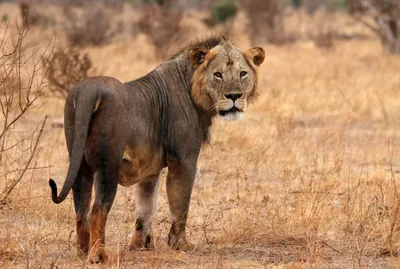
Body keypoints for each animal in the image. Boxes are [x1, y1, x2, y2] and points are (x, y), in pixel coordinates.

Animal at [48, 35, 264, 262]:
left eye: (242, 73)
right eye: (218, 74)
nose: (234, 96)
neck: (192, 87)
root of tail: (87, 91)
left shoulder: (150, 169)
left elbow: (146, 206)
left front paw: (141, 245)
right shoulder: (184, 160)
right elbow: (180, 205)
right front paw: (180, 244)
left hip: (80, 164)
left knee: (80, 211)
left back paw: (82, 252)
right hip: (108, 166)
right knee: (97, 210)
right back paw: (99, 255)